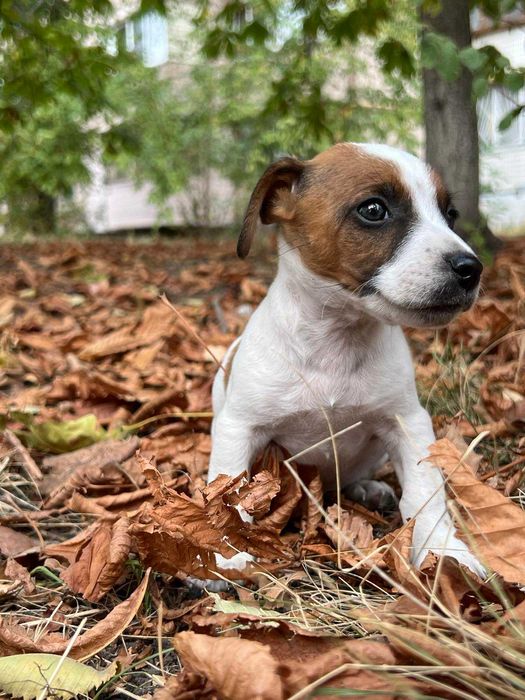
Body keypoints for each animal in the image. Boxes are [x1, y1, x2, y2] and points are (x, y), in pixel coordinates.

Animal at [207, 142, 484, 577]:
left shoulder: (408, 423)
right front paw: (227, 550)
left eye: (450, 214)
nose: (471, 269)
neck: (335, 343)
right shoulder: (239, 428)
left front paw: (444, 550)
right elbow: (230, 493)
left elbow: (426, 492)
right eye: (373, 209)